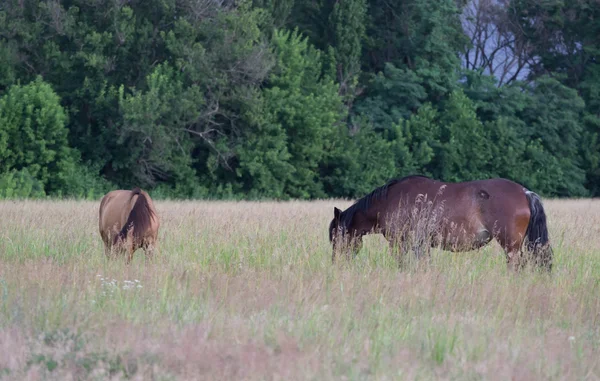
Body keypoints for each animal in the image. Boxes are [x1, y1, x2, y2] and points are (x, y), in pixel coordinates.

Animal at [328, 175, 552, 270]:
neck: (389, 201)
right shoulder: (421, 245)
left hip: (510, 245)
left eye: (336, 238)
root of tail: (524, 192)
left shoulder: (399, 243)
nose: (336, 263)